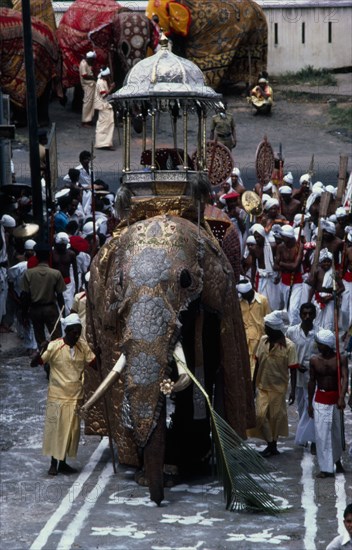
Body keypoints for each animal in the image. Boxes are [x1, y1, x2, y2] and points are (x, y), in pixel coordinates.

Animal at [81, 213, 254, 506]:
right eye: (119, 283)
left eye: (185, 280)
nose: (157, 500)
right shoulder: (106, 314)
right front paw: (145, 472)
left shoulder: (214, 305)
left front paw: (178, 466)